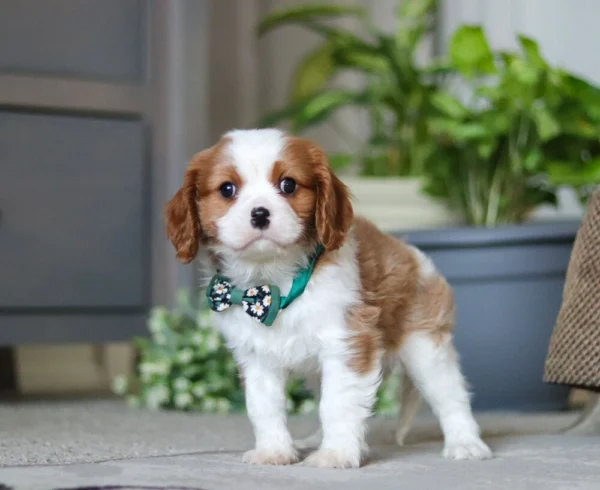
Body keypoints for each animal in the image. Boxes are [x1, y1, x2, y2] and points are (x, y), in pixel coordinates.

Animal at [165, 128, 492, 468]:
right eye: (227, 189)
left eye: (288, 185)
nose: (260, 214)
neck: (274, 283)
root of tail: (410, 252)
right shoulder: (256, 358)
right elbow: (265, 408)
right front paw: (274, 451)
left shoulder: (346, 345)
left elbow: (338, 405)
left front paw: (336, 454)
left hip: (425, 348)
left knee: (451, 396)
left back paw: (466, 443)